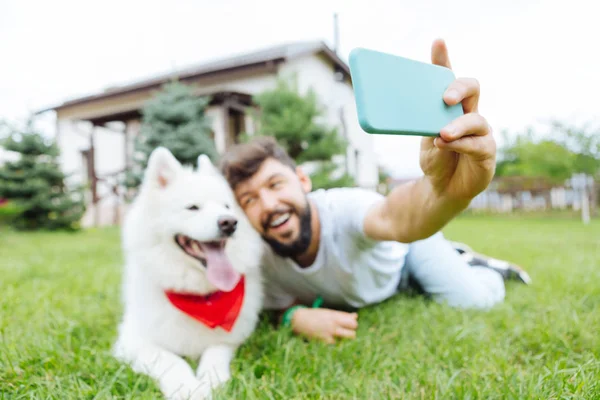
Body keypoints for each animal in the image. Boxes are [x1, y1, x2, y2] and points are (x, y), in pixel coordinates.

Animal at [113, 148, 264, 400]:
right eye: (193, 207)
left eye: (226, 207)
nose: (229, 223)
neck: (200, 297)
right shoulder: (133, 341)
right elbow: (171, 360)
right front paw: (188, 388)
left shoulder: (229, 339)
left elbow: (214, 355)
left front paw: (212, 381)